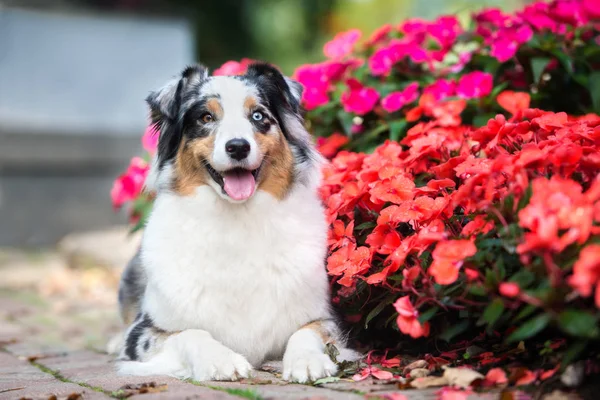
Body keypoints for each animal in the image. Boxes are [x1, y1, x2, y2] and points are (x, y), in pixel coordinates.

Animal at [110, 61, 358, 382]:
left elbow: (305, 332)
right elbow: (191, 333)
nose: (238, 146)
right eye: (206, 117)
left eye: (258, 116)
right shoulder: (145, 331)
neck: (238, 218)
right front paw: (221, 360)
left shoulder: (325, 317)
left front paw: (307, 361)